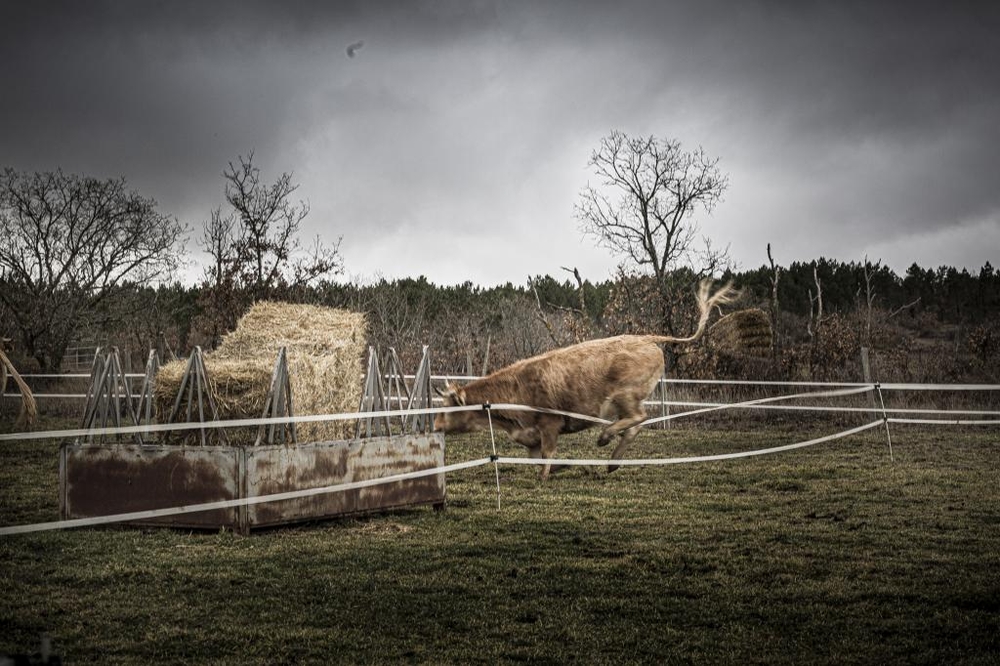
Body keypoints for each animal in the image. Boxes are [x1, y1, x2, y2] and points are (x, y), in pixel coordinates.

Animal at [434, 280, 740, 478]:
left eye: (447, 408)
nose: (435, 425)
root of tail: (645, 338)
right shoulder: (530, 437)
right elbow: (539, 460)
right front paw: (564, 467)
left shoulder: (550, 425)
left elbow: (545, 459)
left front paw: (547, 476)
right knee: (634, 426)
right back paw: (612, 462)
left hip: (626, 396)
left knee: (638, 417)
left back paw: (605, 437)